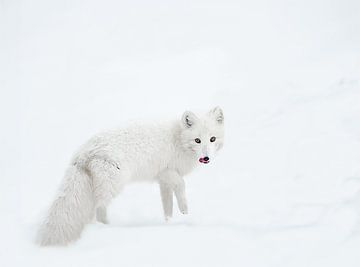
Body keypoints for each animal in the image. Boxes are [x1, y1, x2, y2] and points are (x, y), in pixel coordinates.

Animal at [38, 107, 225, 247]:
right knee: (99, 209)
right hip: (114, 184)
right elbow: (181, 185)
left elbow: (167, 205)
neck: (178, 139)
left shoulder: (163, 179)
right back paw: (106, 228)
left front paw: (169, 223)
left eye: (212, 139)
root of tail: (85, 151)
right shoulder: (168, 172)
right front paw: (185, 210)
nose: (206, 158)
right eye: (197, 140)